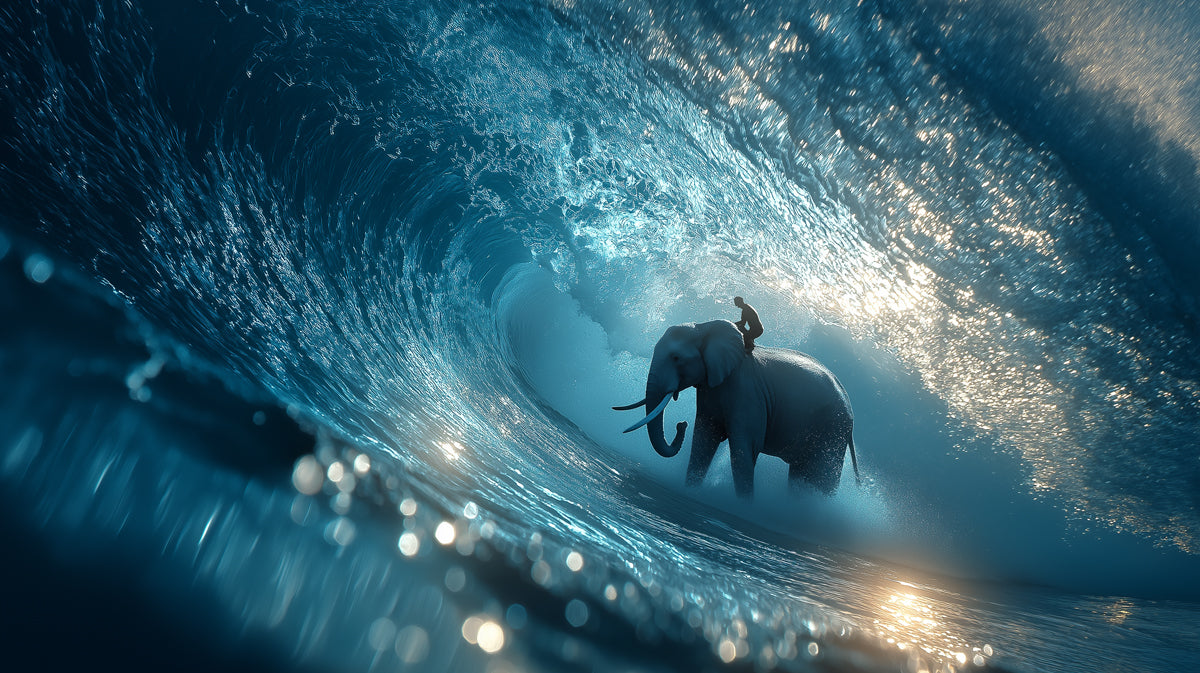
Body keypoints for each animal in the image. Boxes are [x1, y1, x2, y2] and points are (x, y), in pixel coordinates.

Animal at [614, 320, 859, 497]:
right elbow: (703, 440)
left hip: (831, 431)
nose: (680, 423)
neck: (706, 326)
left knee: (820, 478)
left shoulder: (747, 395)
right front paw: (690, 491)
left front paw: (744, 506)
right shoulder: (711, 391)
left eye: (676, 358)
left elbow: (743, 449)